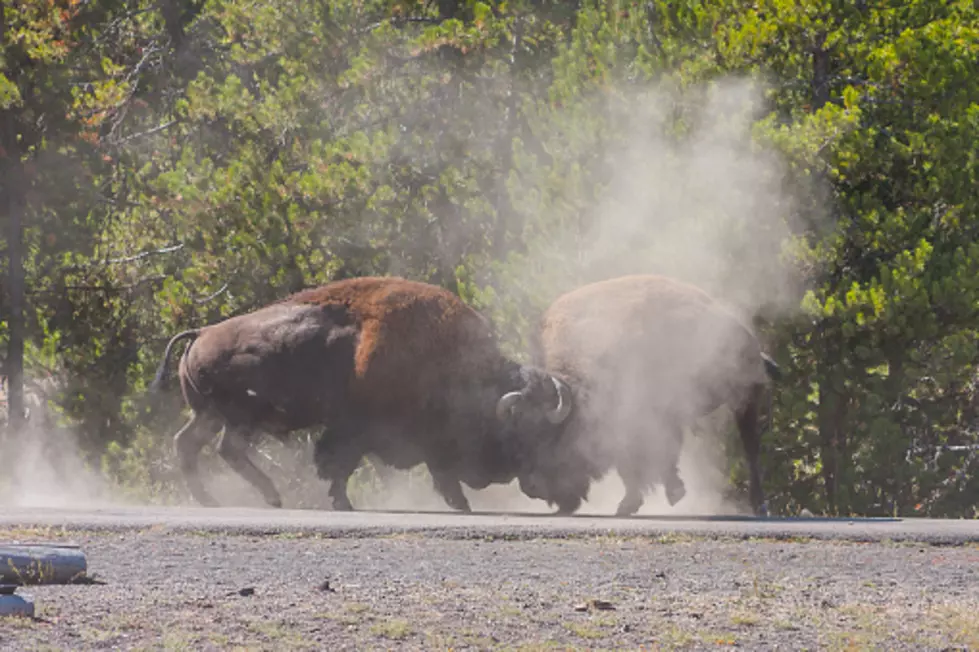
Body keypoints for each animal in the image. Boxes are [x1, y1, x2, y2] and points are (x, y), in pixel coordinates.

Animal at [149, 276, 572, 510]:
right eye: (524, 432)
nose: (538, 485)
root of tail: (202, 333)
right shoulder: (358, 430)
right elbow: (340, 465)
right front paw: (344, 503)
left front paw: (461, 504)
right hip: (239, 419)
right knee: (227, 450)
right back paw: (271, 497)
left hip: (209, 415)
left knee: (187, 445)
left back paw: (212, 499)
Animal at [498, 272, 780, 516]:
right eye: (519, 435)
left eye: (549, 436)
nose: (530, 488)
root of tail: (747, 337)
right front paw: (648, 498)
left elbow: (640, 460)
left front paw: (645, 499)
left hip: (744, 397)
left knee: (750, 449)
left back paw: (760, 506)